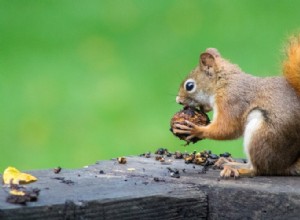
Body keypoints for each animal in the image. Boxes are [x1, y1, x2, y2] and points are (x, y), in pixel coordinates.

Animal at [172, 35, 300, 177]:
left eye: (189, 86)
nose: (178, 100)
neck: (223, 83)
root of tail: (289, 164)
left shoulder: (231, 101)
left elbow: (227, 127)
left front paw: (196, 130)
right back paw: (226, 161)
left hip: (262, 135)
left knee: (259, 169)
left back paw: (236, 168)